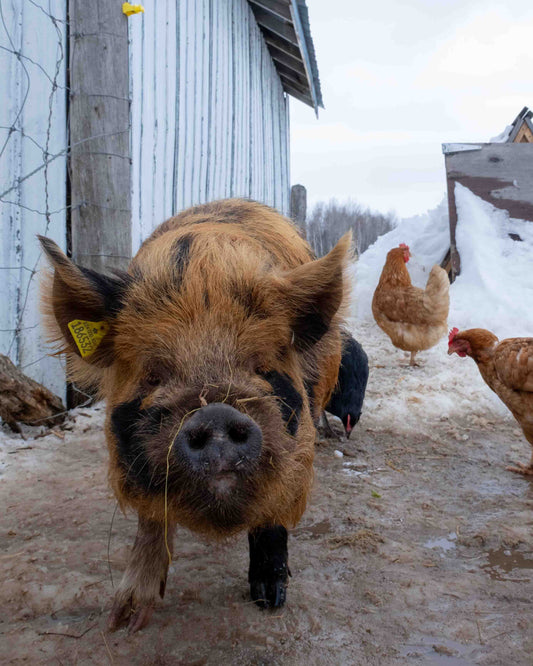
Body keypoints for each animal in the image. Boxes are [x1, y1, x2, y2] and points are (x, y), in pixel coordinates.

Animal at [39, 196, 352, 628]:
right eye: (154, 374)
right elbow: (152, 518)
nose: (215, 414)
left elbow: (273, 514)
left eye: (260, 366)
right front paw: (126, 619)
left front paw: (269, 600)